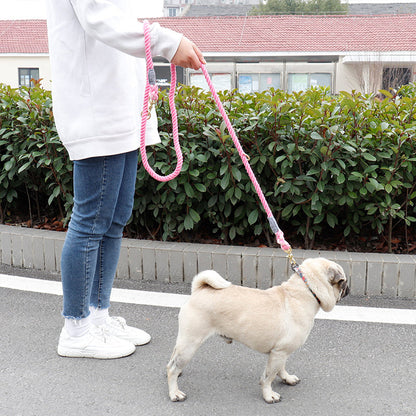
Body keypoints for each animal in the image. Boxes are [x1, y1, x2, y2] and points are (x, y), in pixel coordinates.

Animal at [167, 256, 350, 404]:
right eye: (344, 282)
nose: (348, 289)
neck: (306, 291)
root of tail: (198, 290)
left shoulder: (281, 353)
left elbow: (281, 368)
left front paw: (287, 378)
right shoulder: (279, 353)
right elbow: (268, 377)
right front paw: (269, 395)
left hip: (184, 342)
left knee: (172, 360)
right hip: (190, 344)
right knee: (172, 368)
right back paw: (175, 393)